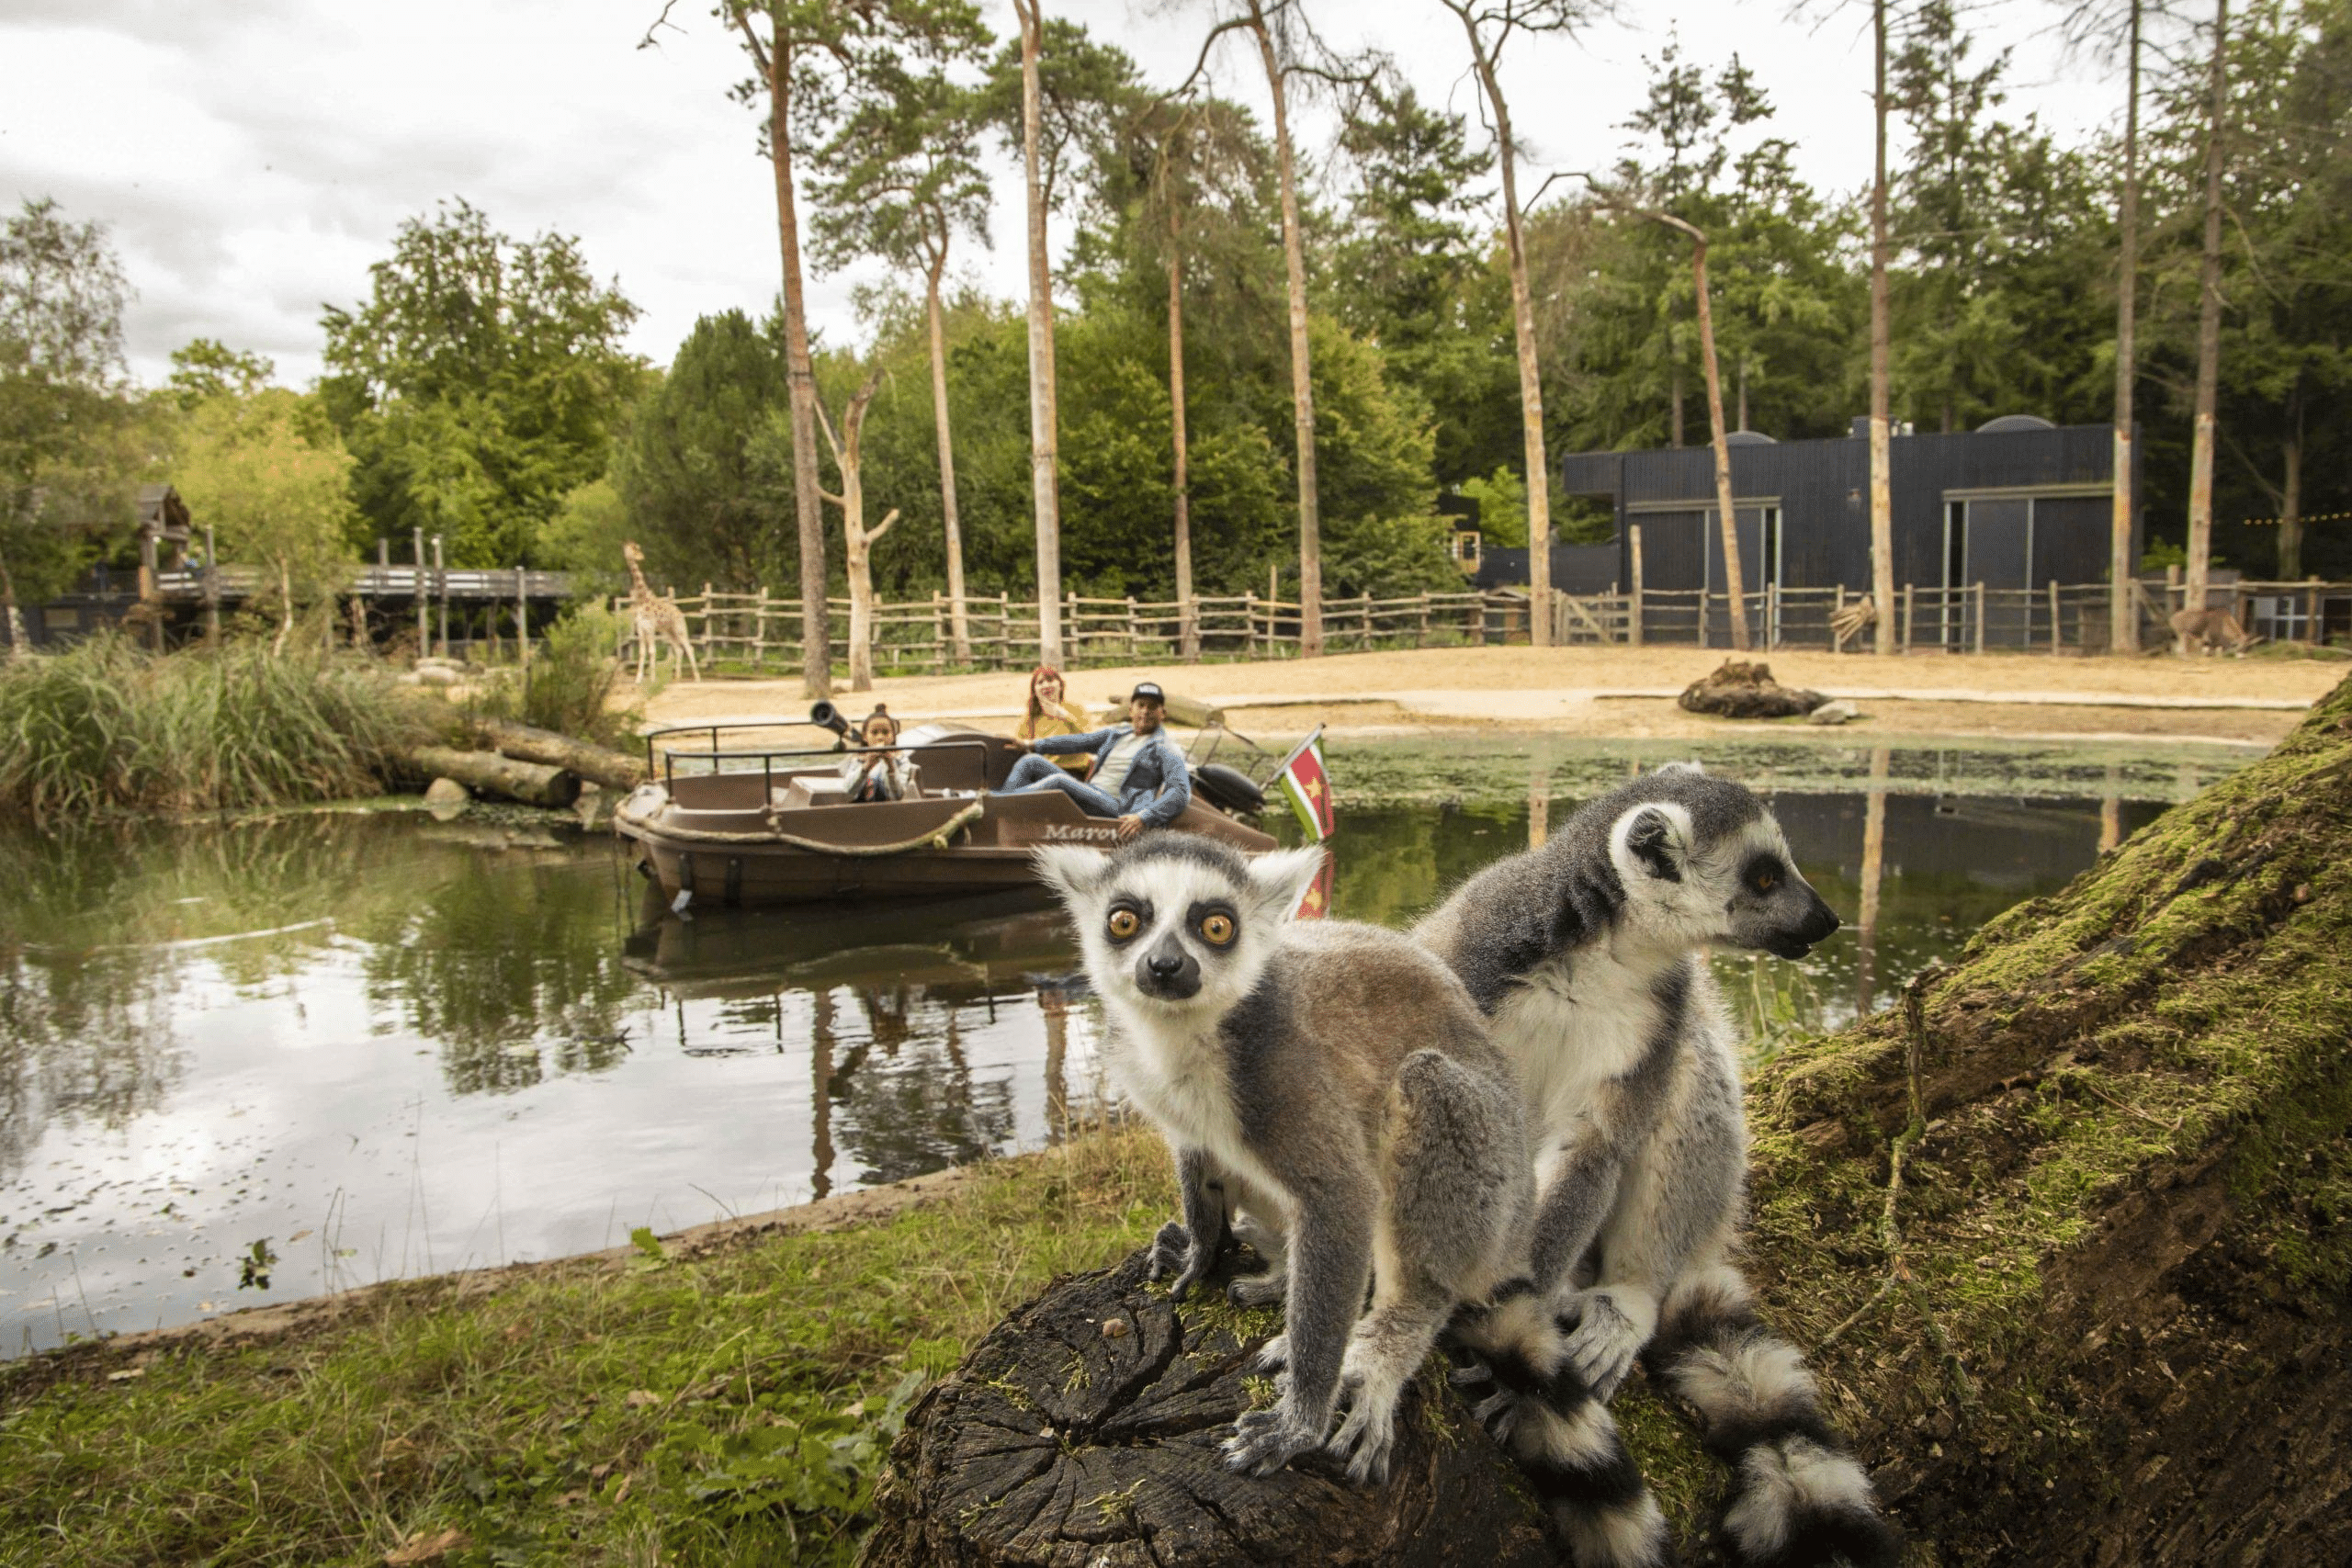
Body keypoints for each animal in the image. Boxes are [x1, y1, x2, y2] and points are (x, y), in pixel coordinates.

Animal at [620, 543, 700, 682]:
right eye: (634, 550)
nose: (641, 557)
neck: (642, 599)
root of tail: (680, 613)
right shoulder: (641, 629)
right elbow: (642, 653)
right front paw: (638, 679)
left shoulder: (650, 628)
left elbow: (652, 651)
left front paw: (652, 679)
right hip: (668, 632)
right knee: (678, 649)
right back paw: (677, 677)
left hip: (679, 629)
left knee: (689, 648)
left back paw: (697, 677)